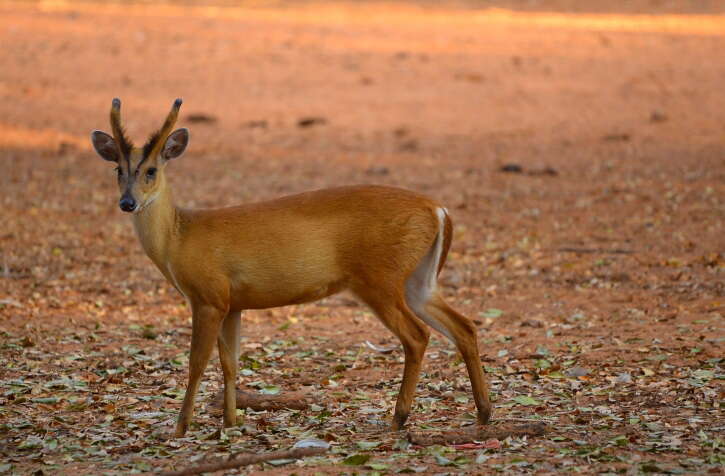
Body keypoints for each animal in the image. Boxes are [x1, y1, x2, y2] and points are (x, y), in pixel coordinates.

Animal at [87, 98, 490, 436]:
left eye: (151, 170)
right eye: (118, 170)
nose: (127, 203)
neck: (180, 237)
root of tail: (439, 210)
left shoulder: (208, 296)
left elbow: (196, 362)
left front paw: (180, 428)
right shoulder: (233, 304)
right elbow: (231, 363)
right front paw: (231, 423)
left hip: (380, 278)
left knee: (417, 336)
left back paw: (399, 418)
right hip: (419, 280)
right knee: (464, 326)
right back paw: (484, 412)